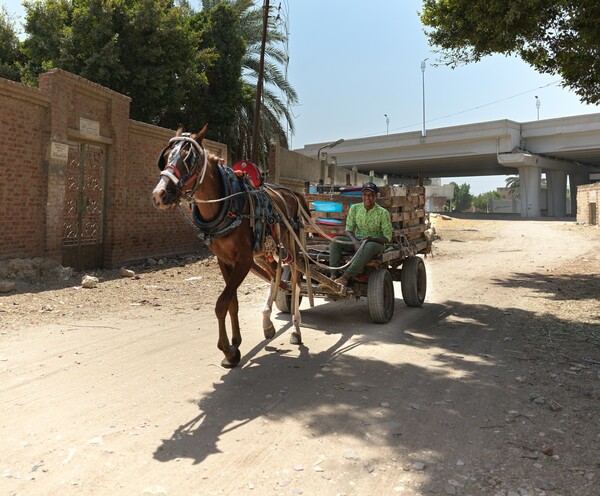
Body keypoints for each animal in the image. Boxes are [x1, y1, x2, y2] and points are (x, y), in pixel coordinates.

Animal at [151, 126, 310, 368]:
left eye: (189, 159)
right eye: (167, 156)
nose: (159, 194)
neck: (227, 205)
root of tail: (294, 193)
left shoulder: (243, 261)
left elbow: (221, 303)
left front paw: (227, 350)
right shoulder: (224, 260)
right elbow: (232, 302)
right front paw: (235, 344)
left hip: (292, 245)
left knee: (296, 278)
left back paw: (296, 329)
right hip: (264, 252)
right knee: (275, 272)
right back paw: (267, 322)